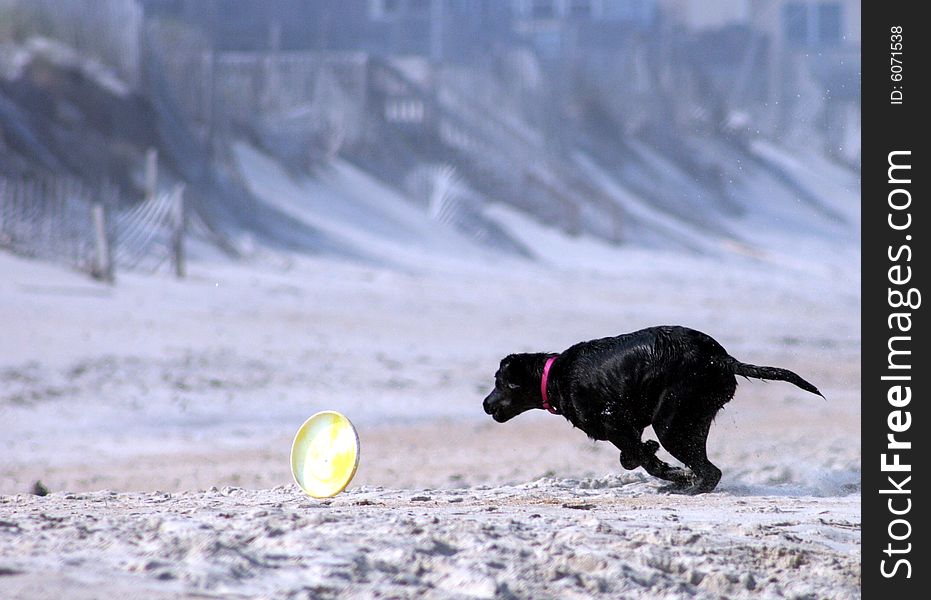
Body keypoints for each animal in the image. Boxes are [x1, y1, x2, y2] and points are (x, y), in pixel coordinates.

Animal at [484, 328, 820, 492]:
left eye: (499, 382)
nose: (486, 404)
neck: (555, 374)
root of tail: (720, 358)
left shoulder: (615, 423)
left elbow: (640, 459)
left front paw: (670, 471)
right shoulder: (629, 427)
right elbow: (633, 456)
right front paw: (659, 460)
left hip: (672, 423)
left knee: (710, 471)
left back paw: (686, 487)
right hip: (692, 420)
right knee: (706, 466)